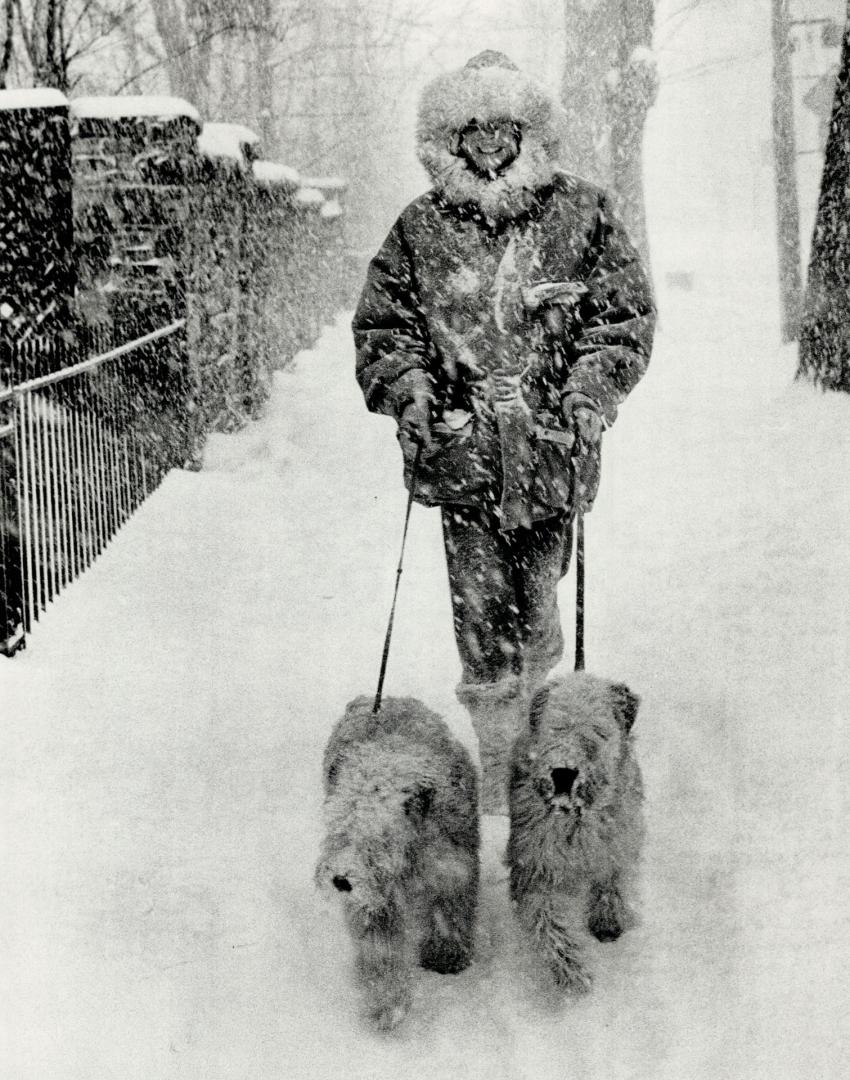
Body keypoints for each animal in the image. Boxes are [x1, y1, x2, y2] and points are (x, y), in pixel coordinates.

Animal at [317, 695, 481, 1032]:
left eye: (379, 836)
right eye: (339, 830)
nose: (341, 880)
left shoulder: (453, 873)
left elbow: (449, 917)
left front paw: (447, 955)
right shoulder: (376, 902)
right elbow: (380, 952)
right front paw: (386, 1001)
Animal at [505, 673, 643, 993]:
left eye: (598, 731)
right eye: (555, 726)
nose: (564, 772)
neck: (574, 819)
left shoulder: (620, 836)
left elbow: (613, 874)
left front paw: (608, 916)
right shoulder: (532, 862)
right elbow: (546, 923)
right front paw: (571, 974)